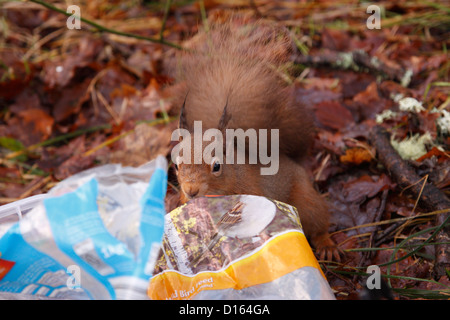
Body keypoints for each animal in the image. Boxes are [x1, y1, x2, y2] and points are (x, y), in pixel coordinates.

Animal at [171, 15, 340, 262]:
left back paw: (326, 244)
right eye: (175, 165)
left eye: (217, 166)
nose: (191, 191)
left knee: (318, 222)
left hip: (307, 201)